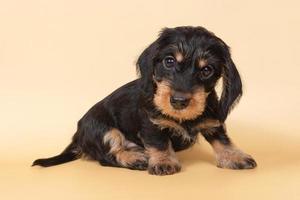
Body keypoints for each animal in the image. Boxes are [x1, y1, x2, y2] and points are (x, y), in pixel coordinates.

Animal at [33, 26, 258, 175]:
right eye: (169, 61)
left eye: (207, 70)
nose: (179, 101)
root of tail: (77, 137)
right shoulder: (151, 124)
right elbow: (159, 142)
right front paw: (164, 162)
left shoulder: (213, 121)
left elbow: (222, 140)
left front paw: (235, 157)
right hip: (102, 129)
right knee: (108, 156)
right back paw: (135, 158)